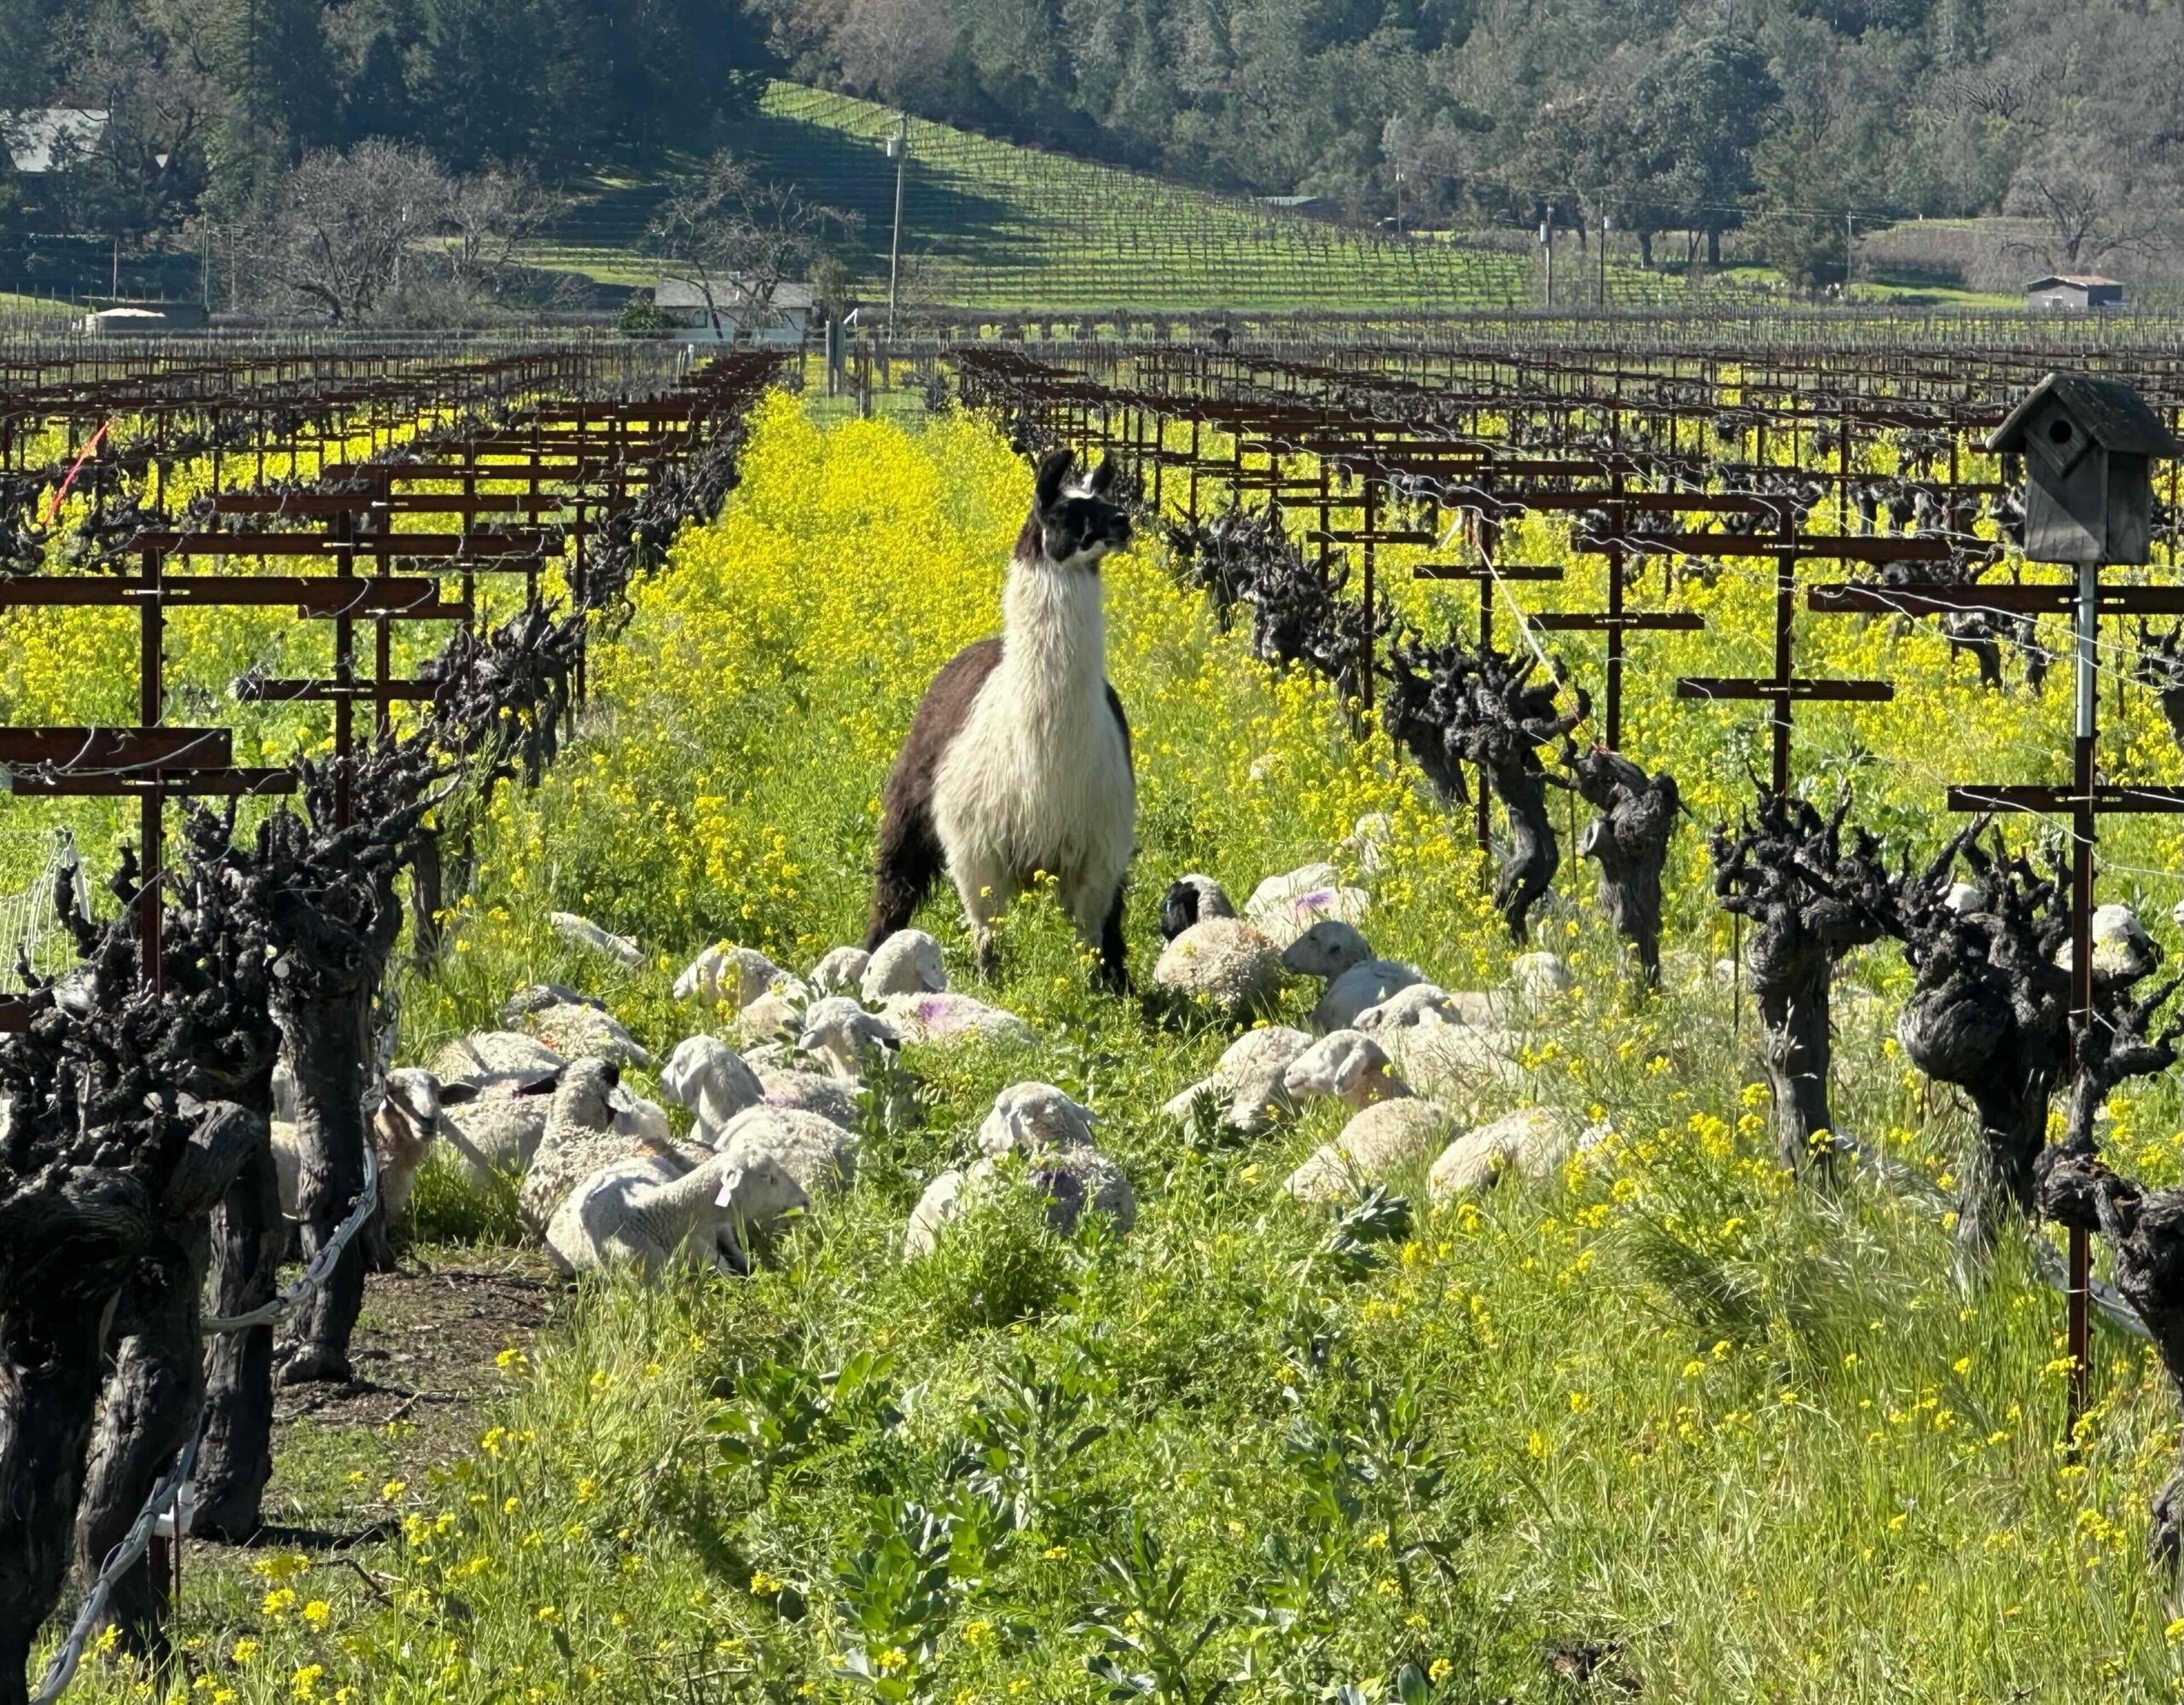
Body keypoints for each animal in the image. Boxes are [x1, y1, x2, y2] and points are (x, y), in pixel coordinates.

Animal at [864, 445, 1136, 992]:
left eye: (1105, 498)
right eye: (1065, 512)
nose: (1124, 522)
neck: (1045, 761)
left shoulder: (1099, 851)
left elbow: (1091, 937)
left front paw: (1099, 995)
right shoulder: (977, 847)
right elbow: (989, 933)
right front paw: (993, 988)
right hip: (911, 803)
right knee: (895, 884)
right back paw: (870, 952)